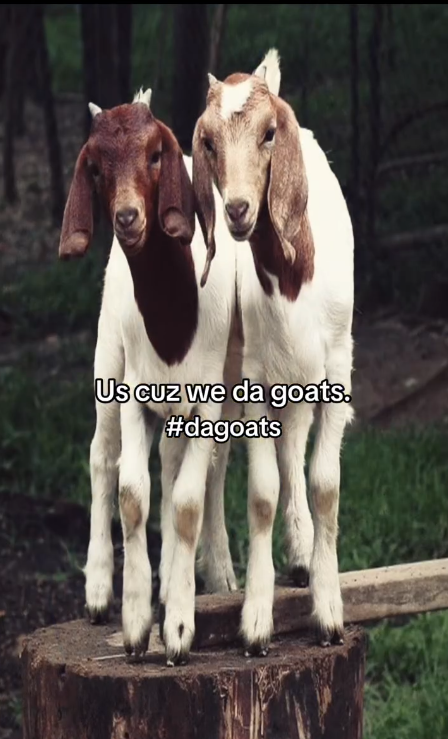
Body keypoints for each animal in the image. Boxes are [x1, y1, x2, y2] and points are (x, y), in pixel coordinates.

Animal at [58, 89, 241, 665]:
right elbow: (132, 493)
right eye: (95, 167)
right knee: (102, 456)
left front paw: (178, 623)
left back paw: (212, 574)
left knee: (200, 467)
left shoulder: (208, 400)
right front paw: (137, 623)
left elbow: (185, 500)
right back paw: (98, 589)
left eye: (156, 154)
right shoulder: (134, 393)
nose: (127, 217)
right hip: (106, 356)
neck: (174, 317)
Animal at [192, 49, 355, 655]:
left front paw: (328, 612)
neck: (292, 280)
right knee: (217, 461)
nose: (238, 209)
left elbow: (325, 484)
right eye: (208, 141)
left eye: (269, 132)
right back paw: (219, 573)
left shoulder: (335, 368)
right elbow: (260, 493)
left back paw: (302, 552)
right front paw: (256, 622)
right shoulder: (255, 374)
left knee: (292, 450)